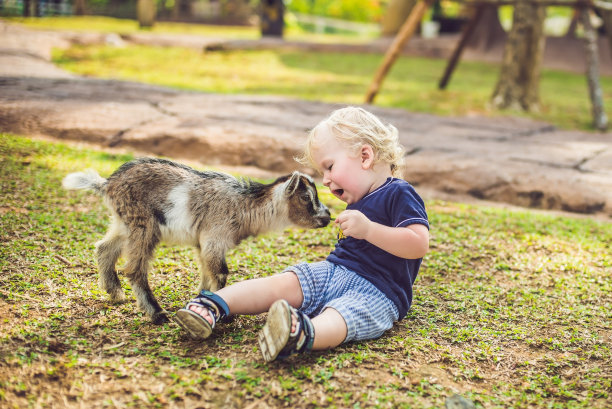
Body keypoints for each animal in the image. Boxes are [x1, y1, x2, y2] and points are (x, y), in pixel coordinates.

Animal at [63, 158, 330, 324]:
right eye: (306, 197)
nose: (327, 216)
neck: (244, 205)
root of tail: (107, 184)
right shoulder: (215, 239)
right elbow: (220, 273)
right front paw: (224, 312)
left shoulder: (204, 244)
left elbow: (206, 271)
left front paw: (203, 298)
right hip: (143, 225)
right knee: (134, 269)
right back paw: (157, 314)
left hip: (123, 223)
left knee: (104, 249)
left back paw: (115, 293)